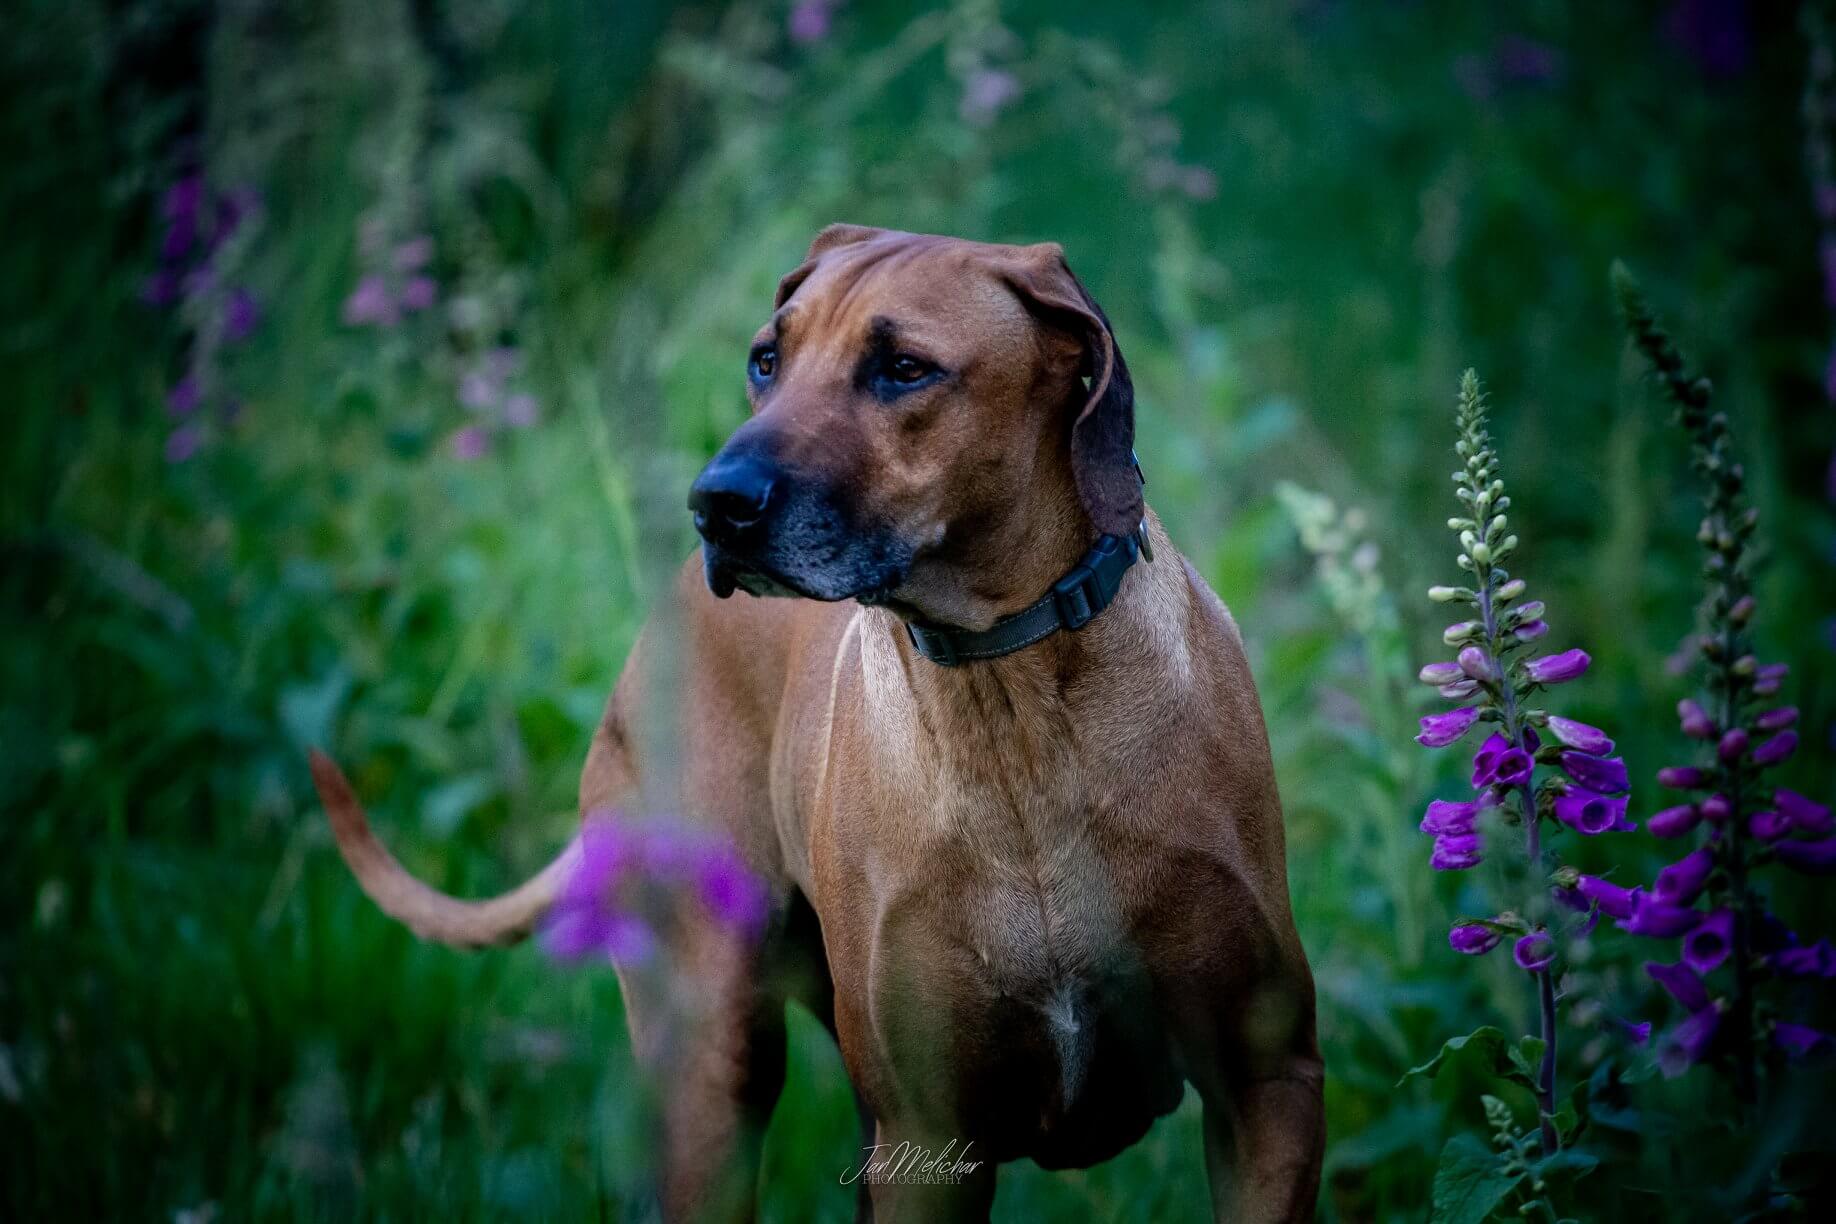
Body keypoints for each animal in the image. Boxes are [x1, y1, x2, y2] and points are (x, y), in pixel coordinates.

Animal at [312, 224, 1321, 1218]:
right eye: (767, 359)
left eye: (905, 369)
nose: (714, 504)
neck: (1010, 694)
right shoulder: (924, 1136)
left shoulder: (1268, 1085)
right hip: (711, 1069)